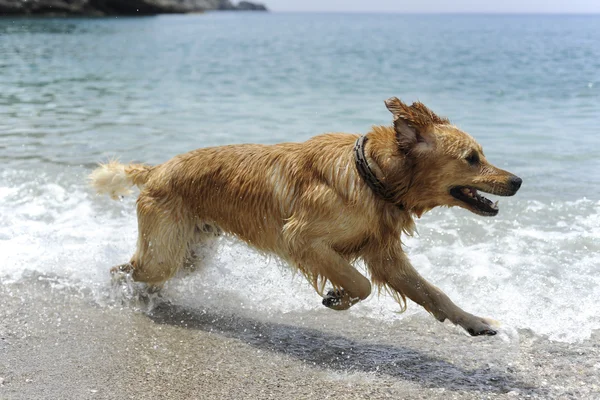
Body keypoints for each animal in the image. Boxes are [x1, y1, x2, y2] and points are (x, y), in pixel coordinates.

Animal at [89, 97, 520, 338]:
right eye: (472, 158)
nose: (517, 181)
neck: (372, 176)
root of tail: (156, 169)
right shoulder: (301, 238)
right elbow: (361, 283)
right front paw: (339, 297)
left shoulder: (385, 255)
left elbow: (434, 293)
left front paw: (475, 322)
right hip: (164, 252)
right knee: (123, 270)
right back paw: (118, 294)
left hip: (190, 253)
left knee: (145, 274)